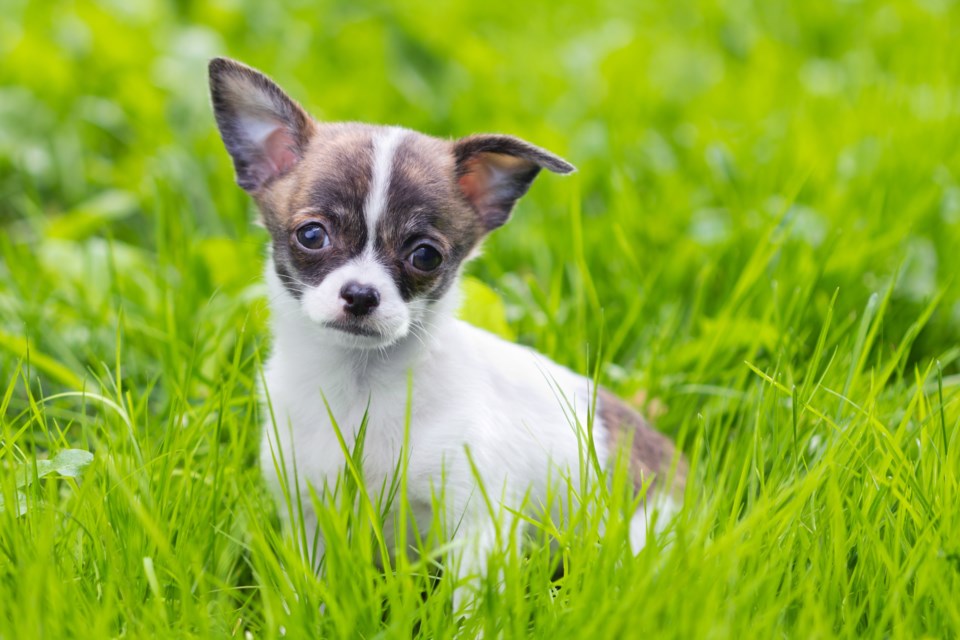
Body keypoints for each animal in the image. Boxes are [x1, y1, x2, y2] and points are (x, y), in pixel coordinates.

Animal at [210, 57, 688, 604]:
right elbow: (307, 590)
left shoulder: (478, 525)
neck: (360, 386)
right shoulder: (309, 514)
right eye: (312, 235)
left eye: (425, 255)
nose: (361, 295)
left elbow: (468, 608)